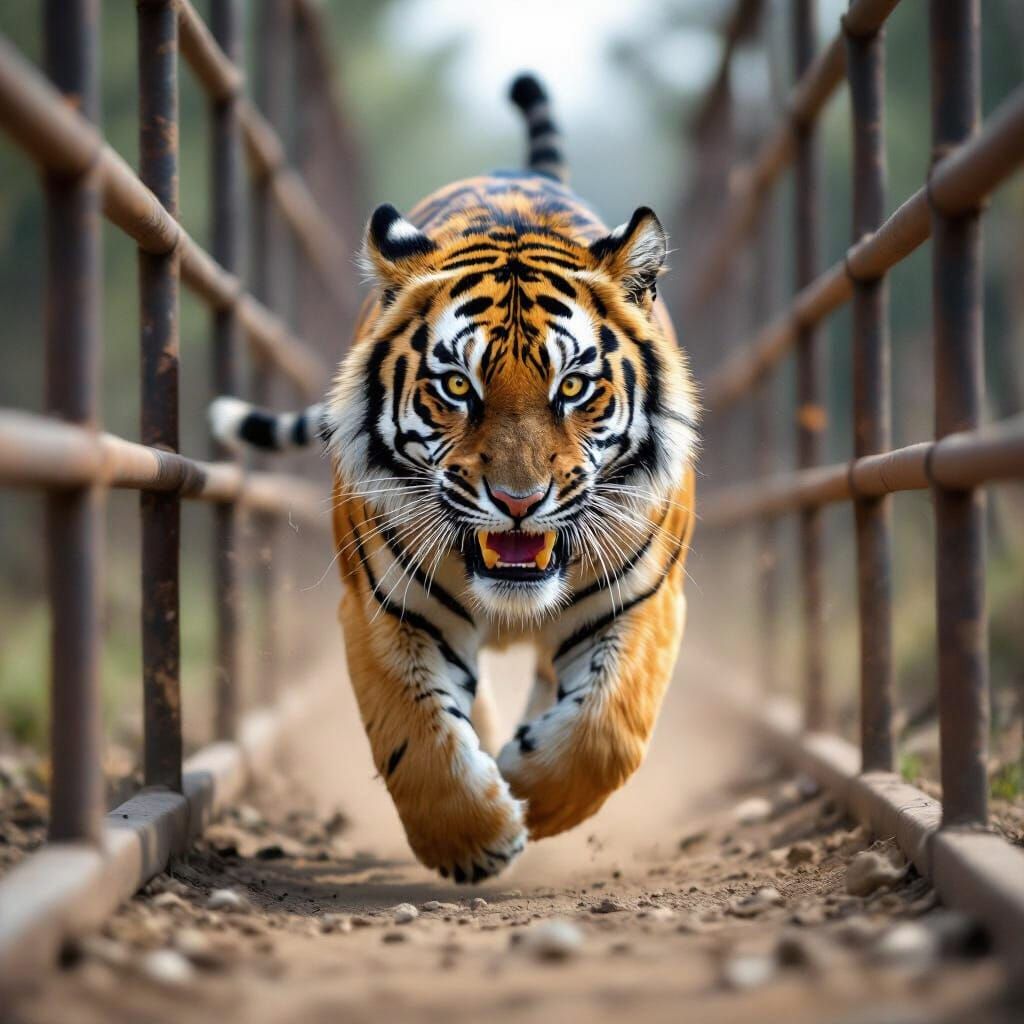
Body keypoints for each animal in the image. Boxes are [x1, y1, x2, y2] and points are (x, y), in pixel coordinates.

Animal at [210, 73, 699, 883]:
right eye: (458, 387)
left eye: (572, 386)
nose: (518, 502)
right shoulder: (384, 609)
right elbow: (418, 739)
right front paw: (475, 840)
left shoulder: (642, 600)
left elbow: (606, 729)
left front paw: (531, 787)